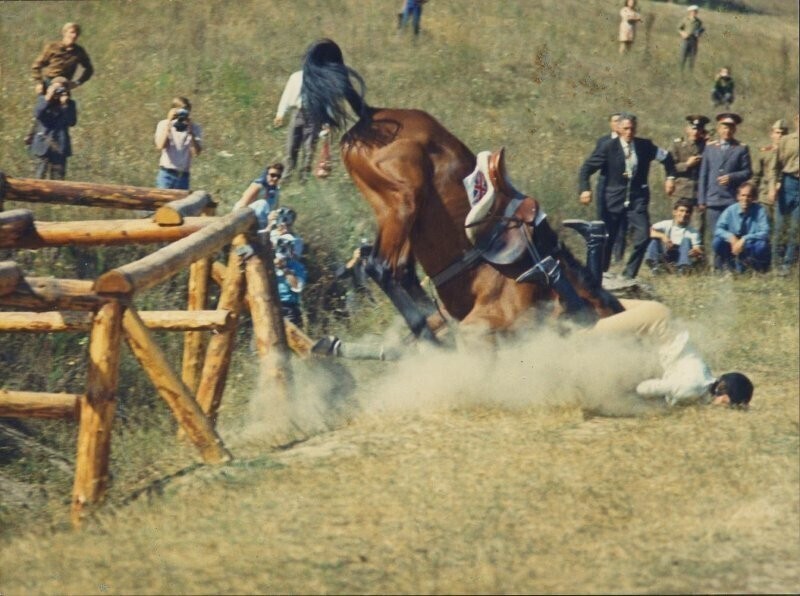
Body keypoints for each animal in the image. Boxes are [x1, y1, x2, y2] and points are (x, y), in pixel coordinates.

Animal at [304, 38, 620, 340]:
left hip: (402, 215)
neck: (546, 278)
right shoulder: (481, 326)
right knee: (381, 267)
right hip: (403, 200)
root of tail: (370, 115)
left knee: (400, 269)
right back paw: (429, 336)